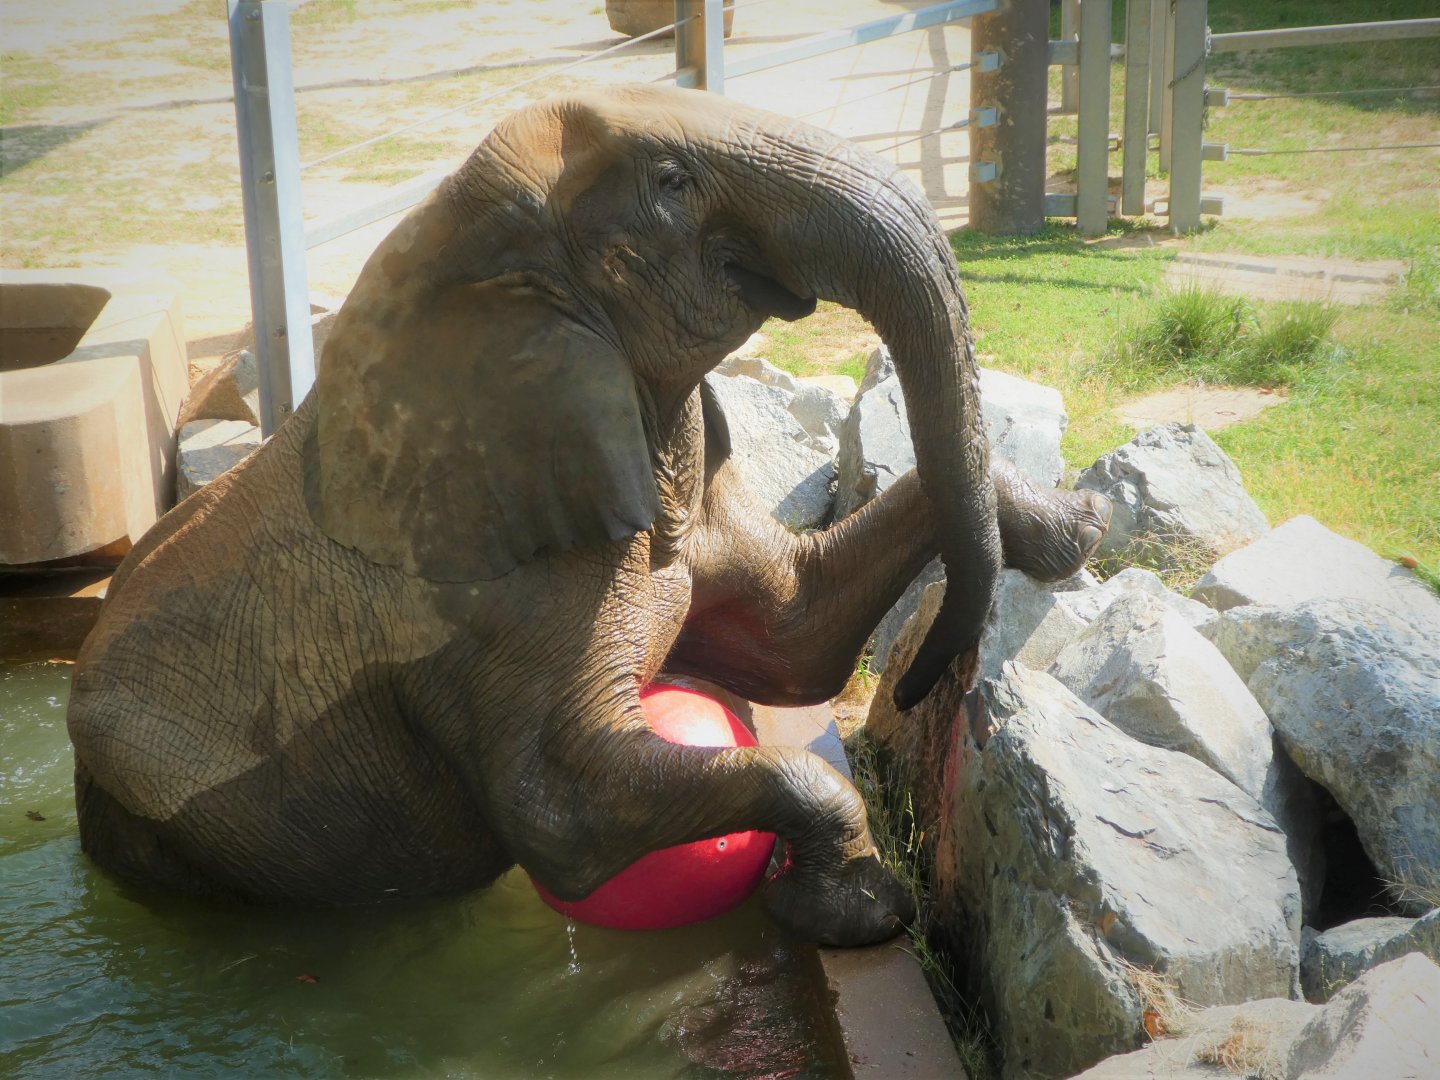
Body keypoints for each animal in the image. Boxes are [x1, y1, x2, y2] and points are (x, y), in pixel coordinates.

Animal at [67, 85, 1109, 947]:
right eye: (674, 181)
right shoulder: (483, 607)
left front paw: (1077, 528)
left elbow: (793, 634)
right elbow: (565, 816)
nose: (921, 684)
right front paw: (860, 915)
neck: (455, 259)